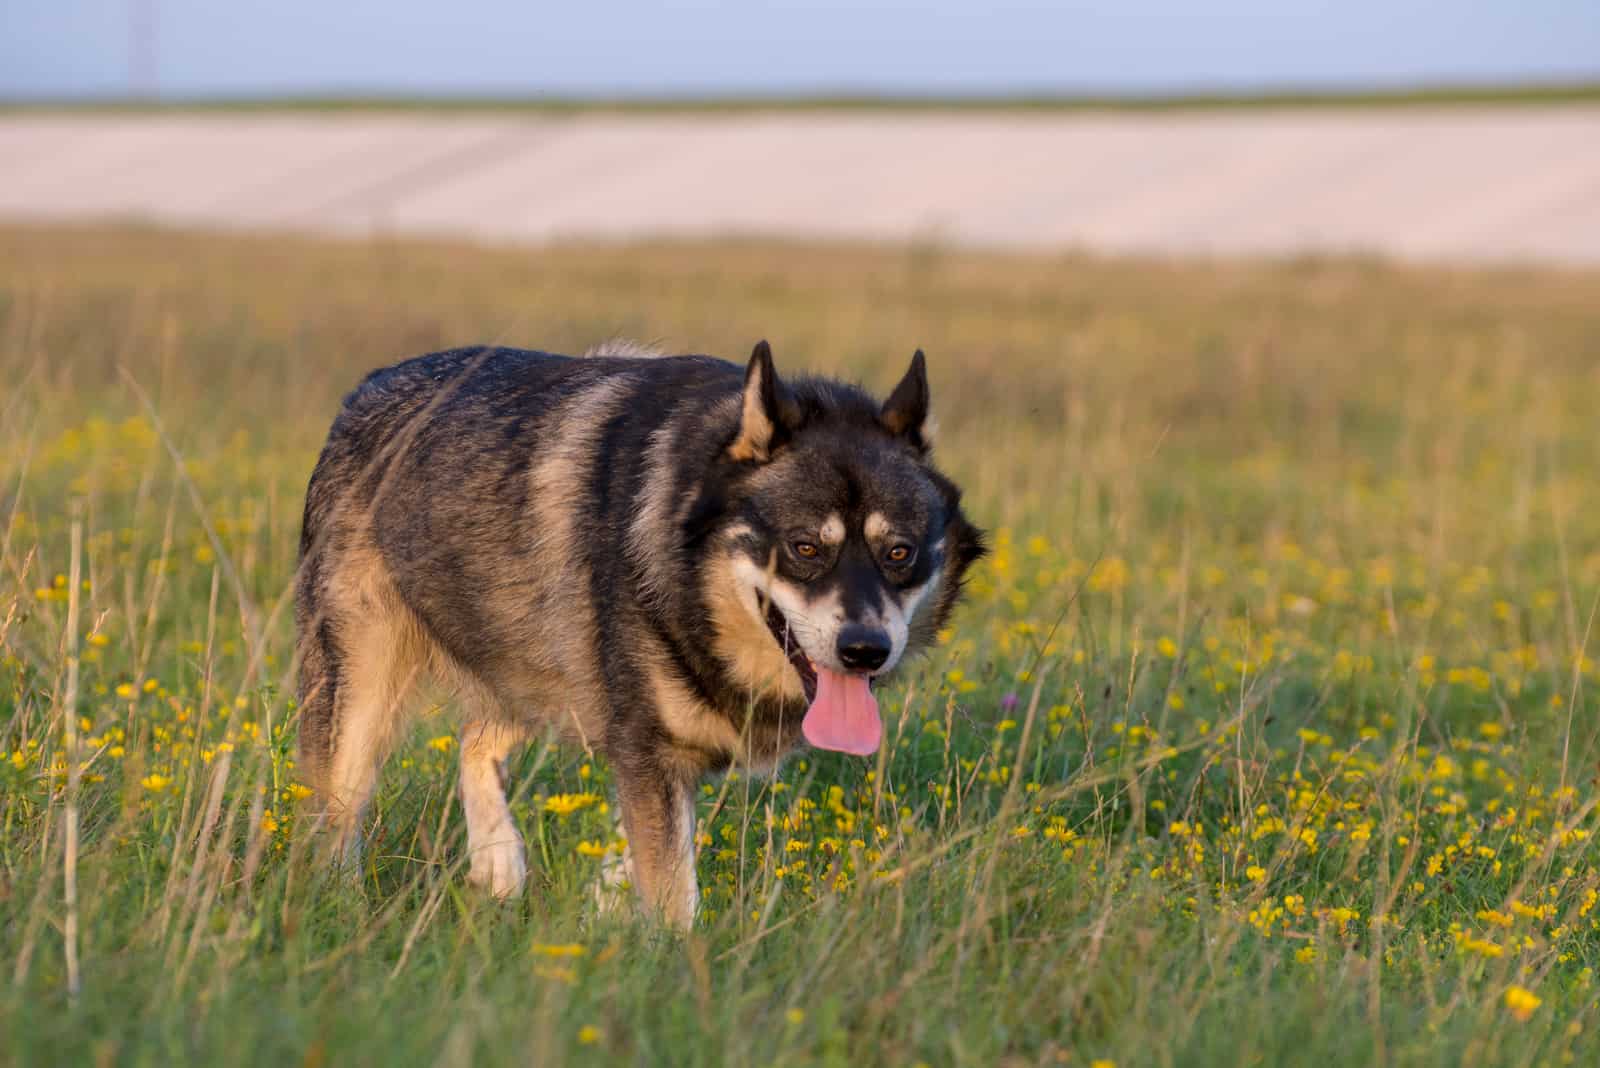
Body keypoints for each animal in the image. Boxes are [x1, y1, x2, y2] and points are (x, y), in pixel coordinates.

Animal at [292, 340, 979, 927]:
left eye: (899, 553)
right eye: (805, 547)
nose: (865, 651)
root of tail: (370, 387)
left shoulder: (652, 746)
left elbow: (656, 850)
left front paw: (606, 896)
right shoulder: (649, 745)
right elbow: (673, 889)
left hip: (542, 652)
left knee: (478, 736)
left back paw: (498, 859)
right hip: (364, 687)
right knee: (338, 812)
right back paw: (338, 904)